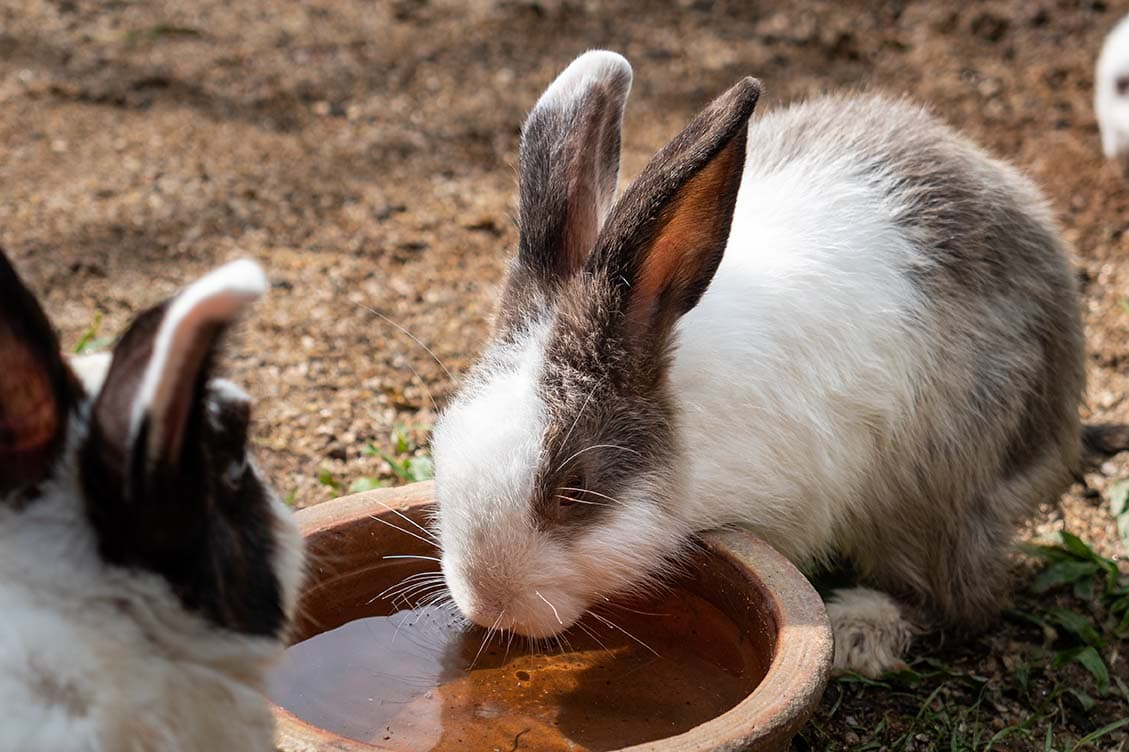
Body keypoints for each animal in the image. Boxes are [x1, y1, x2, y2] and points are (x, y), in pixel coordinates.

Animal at [429, 49, 1083, 677]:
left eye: (575, 491)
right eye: (442, 439)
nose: (487, 604)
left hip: (938, 480)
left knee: (962, 598)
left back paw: (859, 629)